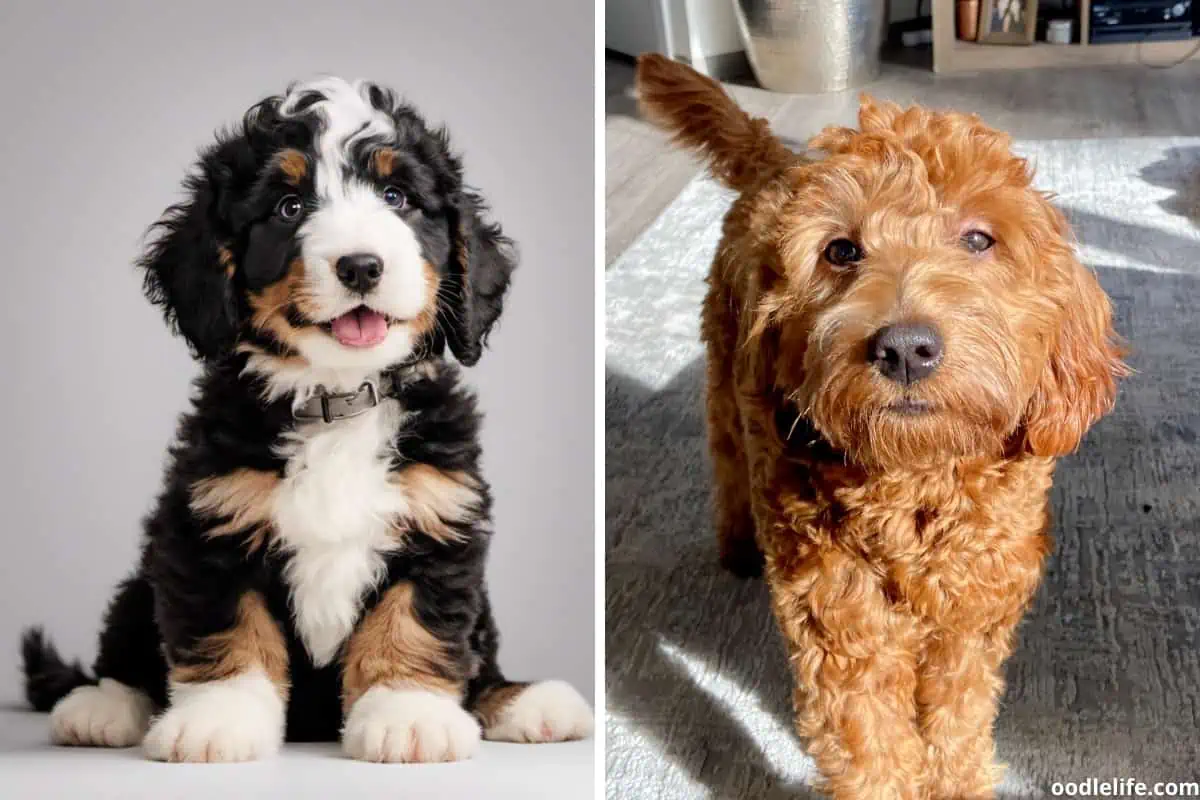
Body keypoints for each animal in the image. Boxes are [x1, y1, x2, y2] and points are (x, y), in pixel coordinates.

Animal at [21, 77, 592, 767]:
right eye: (289, 208)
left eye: (398, 198)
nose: (361, 266)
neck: (335, 399)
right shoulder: (207, 527)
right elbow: (229, 629)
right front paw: (218, 720)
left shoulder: (439, 520)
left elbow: (413, 622)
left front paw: (409, 717)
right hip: (143, 576)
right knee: (126, 645)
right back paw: (101, 707)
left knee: (480, 659)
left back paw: (526, 702)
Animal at [633, 56, 1128, 800]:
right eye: (841, 251)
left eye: (978, 239)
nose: (905, 348)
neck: (915, 484)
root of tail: (777, 163)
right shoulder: (842, 630)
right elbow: (872, 753)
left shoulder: (969, 623)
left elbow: (956, 724)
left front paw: (958, 782)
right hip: (724, 377)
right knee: (726, 458)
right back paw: (739, 545)